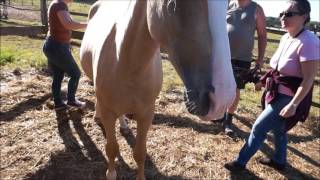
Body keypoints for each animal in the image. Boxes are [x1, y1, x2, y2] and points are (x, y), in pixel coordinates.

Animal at [80, 0, 235, 179]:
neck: (128, 64)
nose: (222, 100)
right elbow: (112, 149)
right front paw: (111, 173)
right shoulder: (108, 112)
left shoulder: (147, 113)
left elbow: (140, 153)